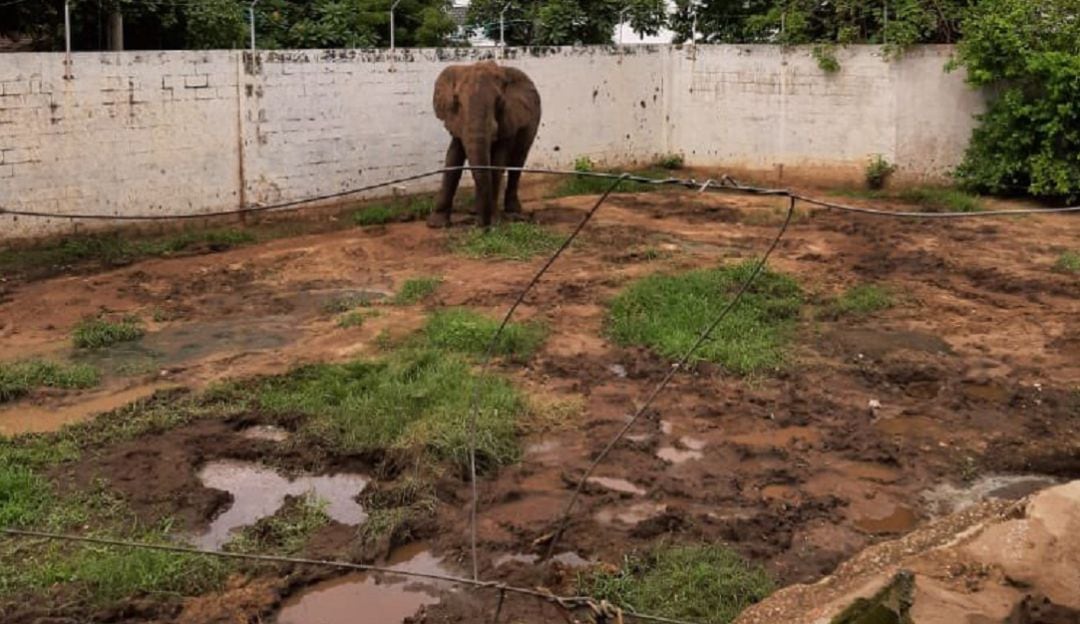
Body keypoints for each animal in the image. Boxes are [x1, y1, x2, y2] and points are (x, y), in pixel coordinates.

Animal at [428, 60, 542, 228]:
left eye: (499, 101)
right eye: (456, 101)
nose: (482, 226)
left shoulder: (508, 119)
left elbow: (497, 163)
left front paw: (493, 222)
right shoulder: (457, 121)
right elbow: (453, 160)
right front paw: (437, 224)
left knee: (518, 161)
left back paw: (512, 211)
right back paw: (477, 211)